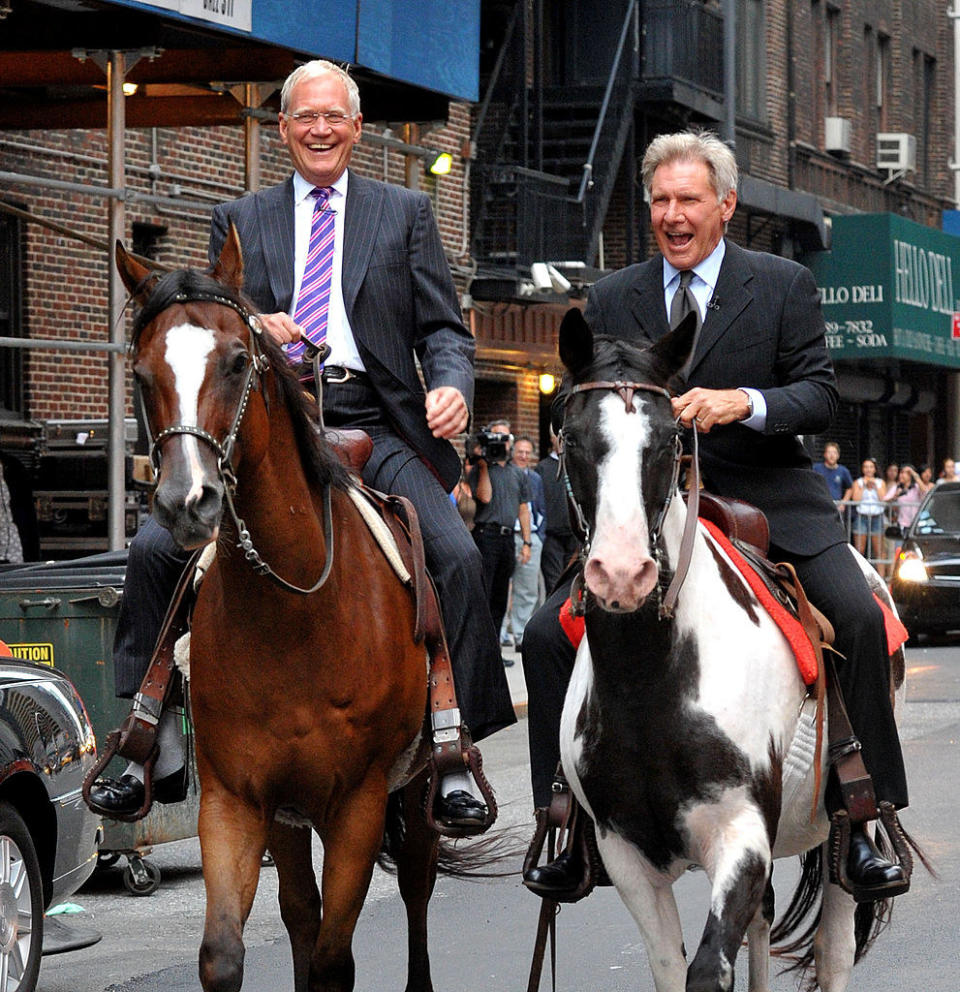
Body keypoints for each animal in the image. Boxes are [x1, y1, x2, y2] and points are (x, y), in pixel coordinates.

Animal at [117, 232, 450, 992]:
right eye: (143, 375)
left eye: (238, 361)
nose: (187, 502)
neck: (292, 612)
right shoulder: (239, 800)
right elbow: (229, 953)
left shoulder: (357, 804)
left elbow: (333, 958)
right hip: (291, 819)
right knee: (300, 912)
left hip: (413, 792)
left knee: (417, 886)